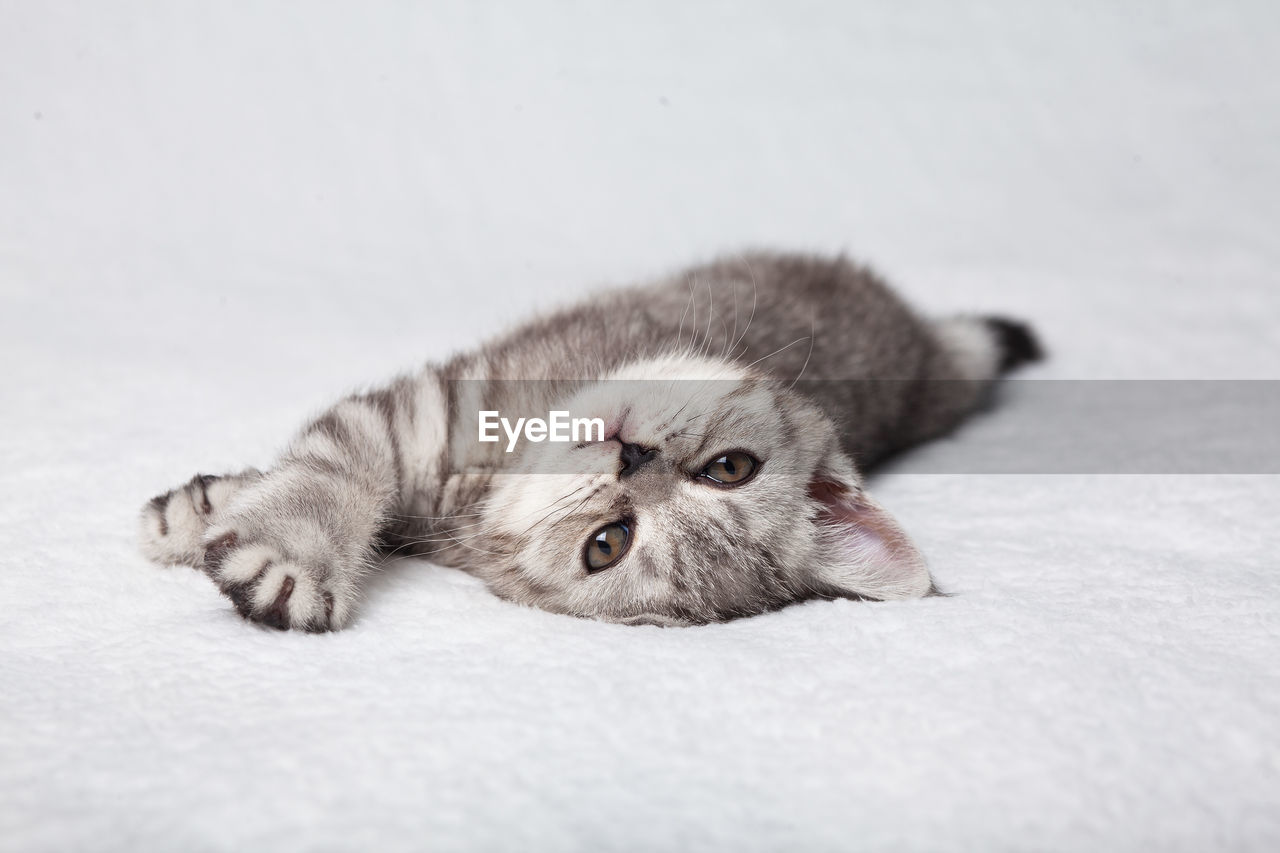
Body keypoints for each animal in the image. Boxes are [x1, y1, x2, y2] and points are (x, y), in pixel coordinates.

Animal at [137, 249, 1039, 627]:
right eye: (730, 467)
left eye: (609, 542)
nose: (631, 459)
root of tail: (924, 349)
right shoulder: (435, 405)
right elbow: (336, 471)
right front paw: (221, 512)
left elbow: (338, 472)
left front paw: (275, 546)